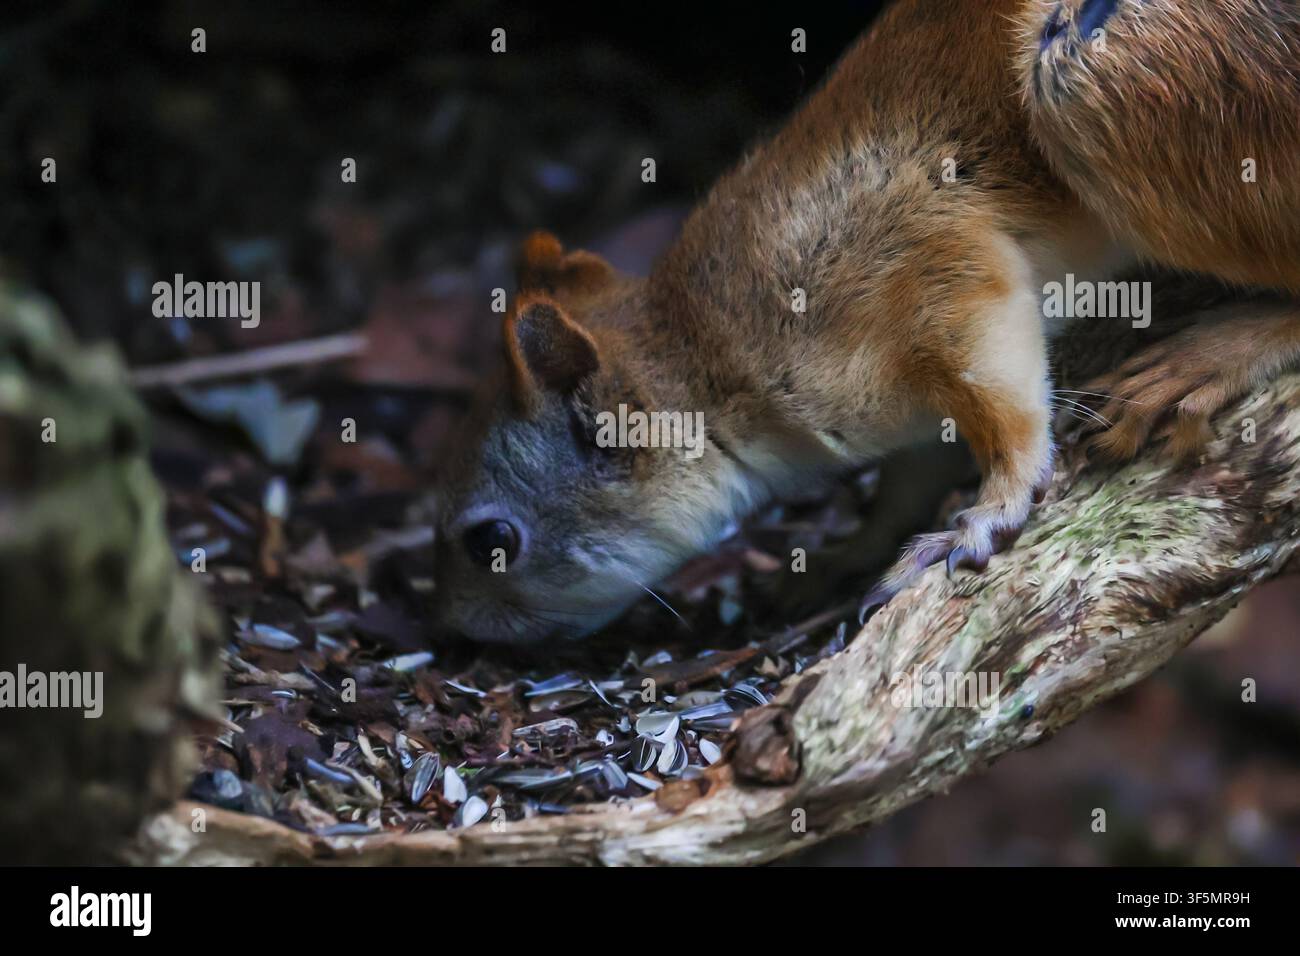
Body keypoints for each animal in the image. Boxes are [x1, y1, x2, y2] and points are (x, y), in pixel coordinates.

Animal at [434, 0, 1300, 644]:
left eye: (491, 542)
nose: (451, 630)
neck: (709, 352)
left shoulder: (929, 274)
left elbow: (1005, 410)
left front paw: (988, 510)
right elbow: (908, 477)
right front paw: (848, 553)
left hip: (1097, 78)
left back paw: (1214, 353)